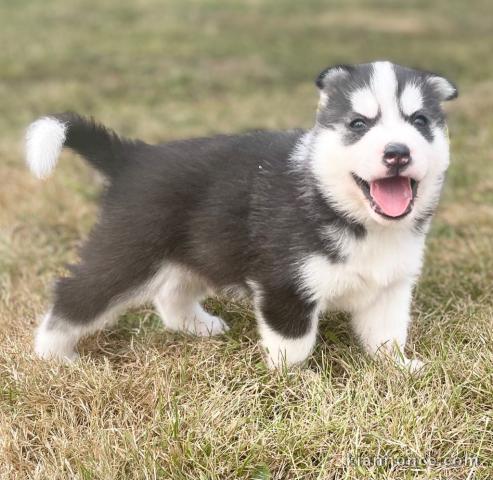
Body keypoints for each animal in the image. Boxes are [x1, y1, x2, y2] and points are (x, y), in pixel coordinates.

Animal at [26, 60, 458, 368]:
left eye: (419, 121)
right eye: (358, 124)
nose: (397, 152)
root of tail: (134, 156)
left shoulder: (390, 286)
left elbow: (387, 335)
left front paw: (398, 368)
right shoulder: (284, 284)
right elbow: (294, 345)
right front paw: (293, 383)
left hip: (197, 252)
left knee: (170, 294)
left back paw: (198, 326)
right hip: (127, 253)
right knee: (75, 295)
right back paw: (54, 356)